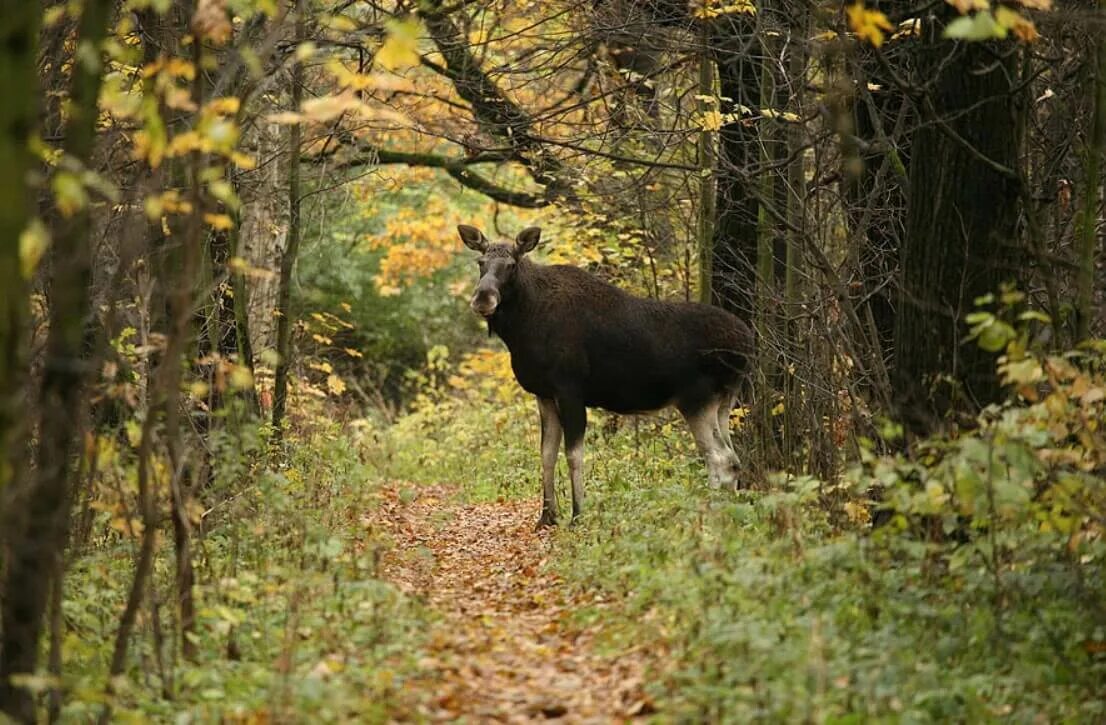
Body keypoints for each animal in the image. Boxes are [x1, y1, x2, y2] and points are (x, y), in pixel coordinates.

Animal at [455, 222, 752, 526]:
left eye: (511, 265)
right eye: (481, 262)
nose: (483, 298)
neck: (522, 329)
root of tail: (748, 343)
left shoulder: (569, 390)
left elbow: (573, 455)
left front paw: (577, 515)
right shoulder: (543, 393)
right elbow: (546, 453)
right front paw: (547, 517)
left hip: (696, 400)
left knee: (720, 460)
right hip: (724, 401)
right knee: (733, 460)